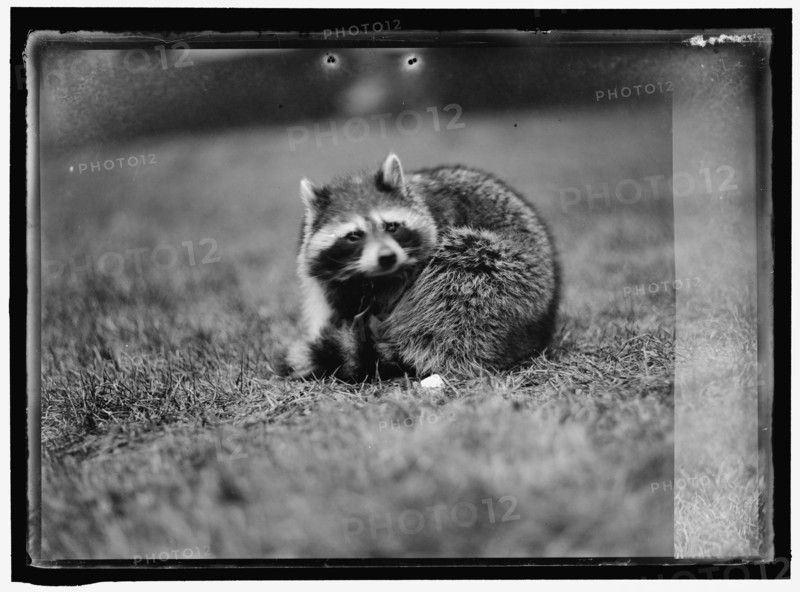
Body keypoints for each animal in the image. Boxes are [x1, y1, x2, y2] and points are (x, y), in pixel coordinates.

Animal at [275, 153, 560, 380]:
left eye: (391, 226)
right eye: (354, 235)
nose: (387, 257)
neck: (374, 277)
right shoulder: (329, 281)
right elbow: (336, 305)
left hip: (506, 275)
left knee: (461, 275)